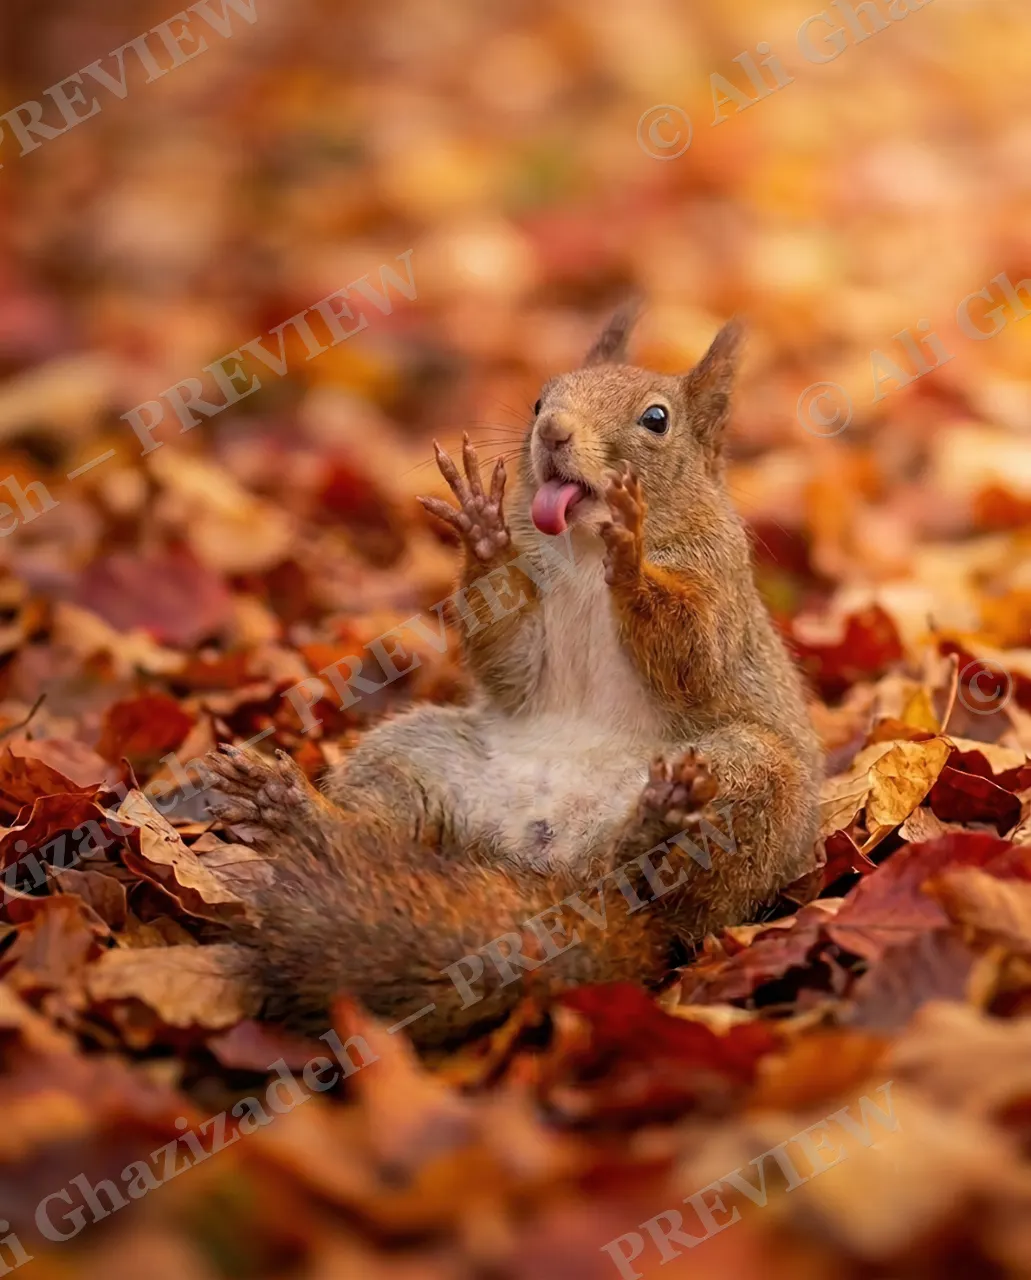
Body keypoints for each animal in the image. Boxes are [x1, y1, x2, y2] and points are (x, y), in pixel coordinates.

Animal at [204, 307, 821, 1047]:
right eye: (538, 399)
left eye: (656, 419)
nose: (552, 431)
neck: (581, 552)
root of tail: (547, 866)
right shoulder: (525, 632)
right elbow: (509, 660)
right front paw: (481, 530)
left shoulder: (717, 585)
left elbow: (693, 657)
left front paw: (631, 552)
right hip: (417, 757)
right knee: (378, 828)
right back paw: (293, 810)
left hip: (748, 780)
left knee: (642, 882)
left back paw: (653, 823)